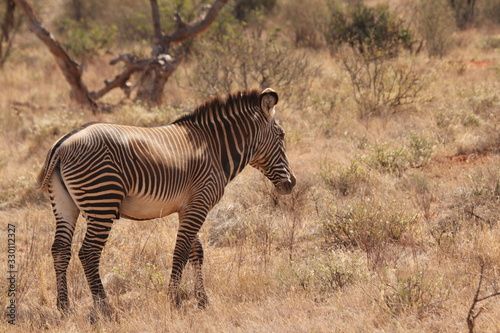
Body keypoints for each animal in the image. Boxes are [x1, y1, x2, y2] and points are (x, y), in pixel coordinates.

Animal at [38, 87, 296, 312]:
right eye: (282, 134)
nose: (291, 184)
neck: (214, 149)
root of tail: (62, 145)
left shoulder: (188, 207)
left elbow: (196, 250)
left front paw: (202, 300)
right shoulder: (199, 203)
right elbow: (181, 250)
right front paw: (174, 300)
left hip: (65, 204)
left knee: (60, 249)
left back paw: (64, 307)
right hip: (102, 200)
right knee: (89, 253)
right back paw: (104, 307)